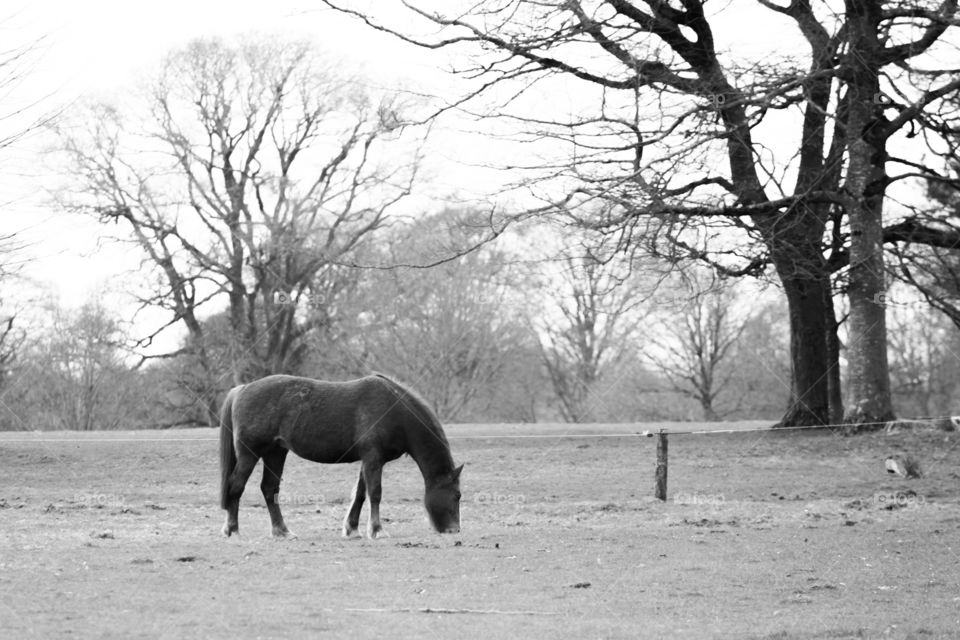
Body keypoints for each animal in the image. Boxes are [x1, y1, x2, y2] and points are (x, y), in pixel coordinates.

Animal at [217, 372, 462, 536]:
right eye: (457, 496)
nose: (455, 530)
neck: (394, 410)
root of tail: (243, 389)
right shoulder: (373, 458)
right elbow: (375, 493)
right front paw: (377, 530)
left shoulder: (369, 459)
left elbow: (361, 493)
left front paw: (352, 528)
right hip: (250, 455)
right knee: (236, 486)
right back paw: (232, 529)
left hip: (275, 453)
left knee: (269, 489)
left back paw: (282, 531)